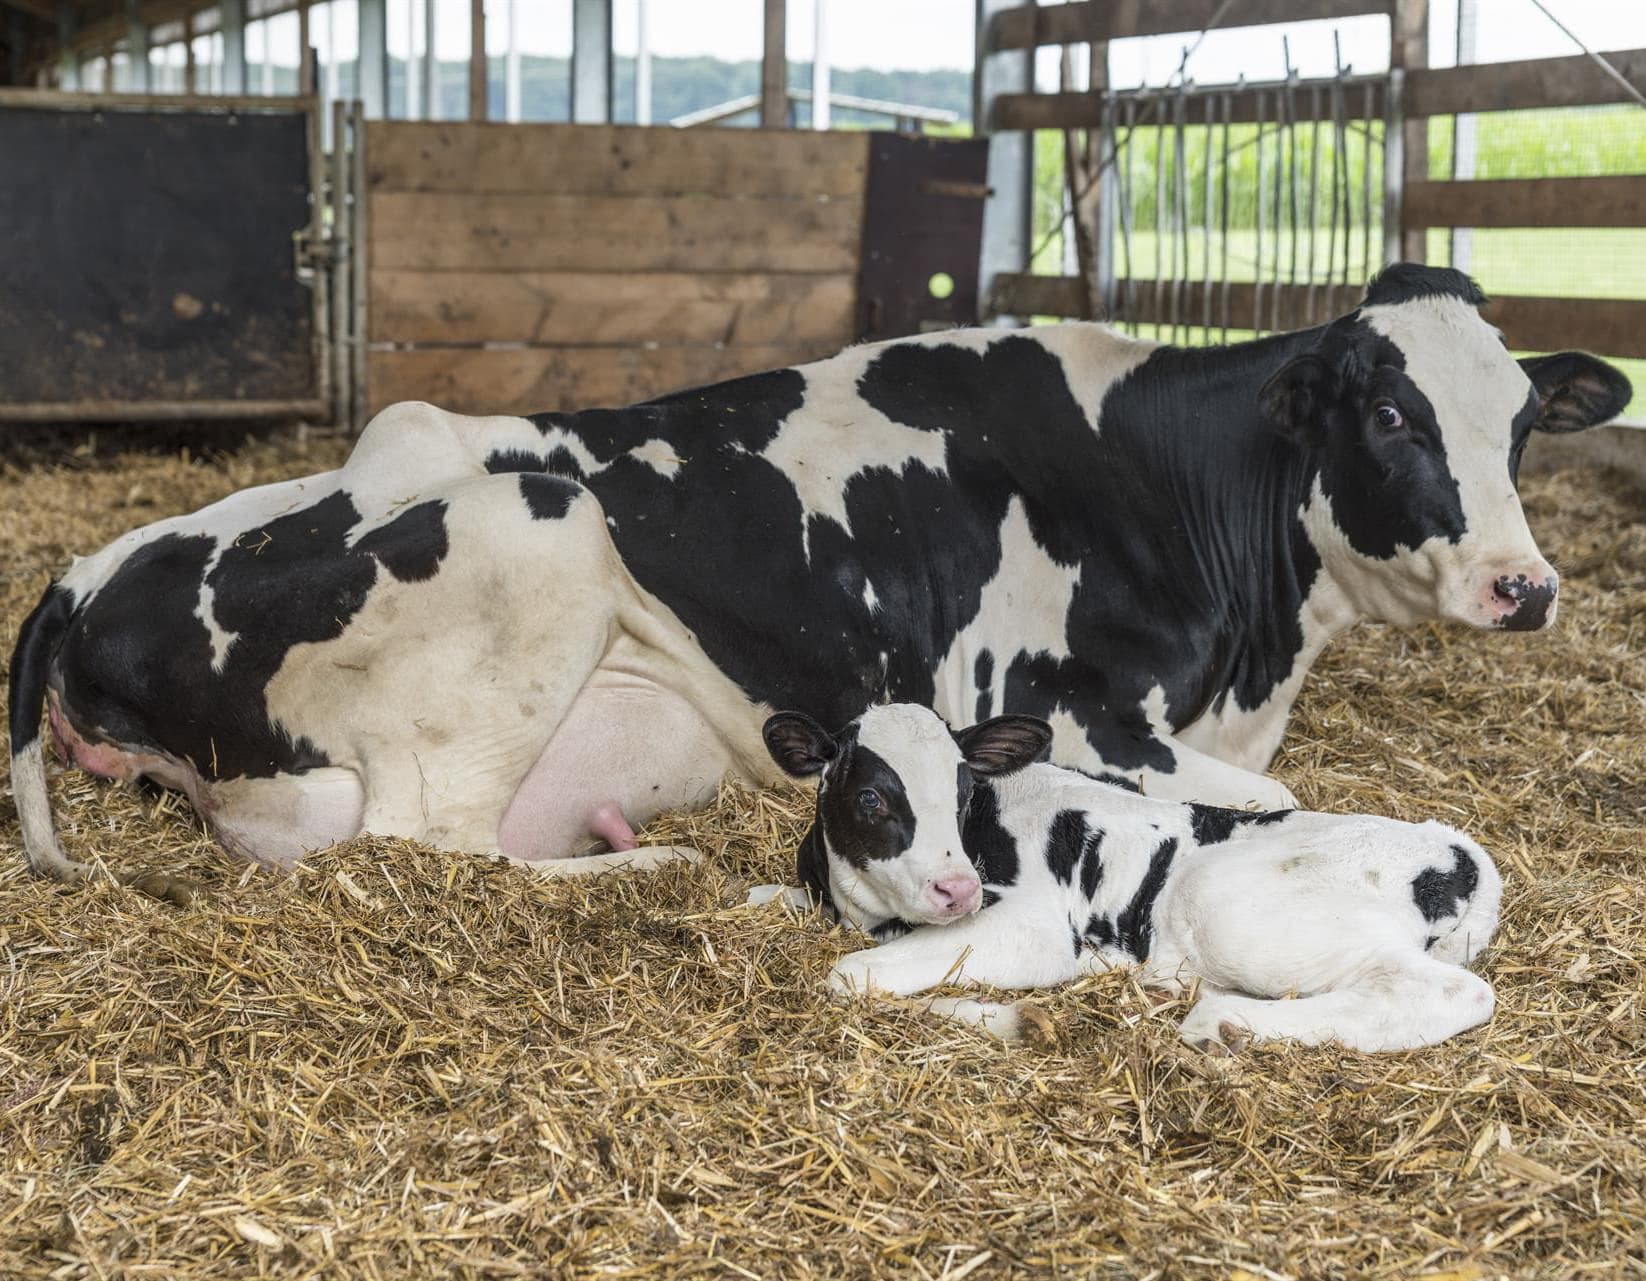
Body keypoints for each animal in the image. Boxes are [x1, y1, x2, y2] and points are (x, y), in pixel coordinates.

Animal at [6, 260, 1632, 875]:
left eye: (1520, 423)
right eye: (1389, 415)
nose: (1523, 586)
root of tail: (89, 569)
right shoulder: (1068, 701)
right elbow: (1271, 803)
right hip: (534, 531)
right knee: (432, 842)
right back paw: (643, 862)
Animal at [757, 698, 1507, 1047]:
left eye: (965, 789)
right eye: (870, 798)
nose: (958, 887)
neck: (867, 911)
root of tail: (1458, 853)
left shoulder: (1035, 924)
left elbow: (848, 976)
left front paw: (1013, 1016)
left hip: (1232, 906)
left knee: (1448, 993)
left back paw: (1224, 1024)